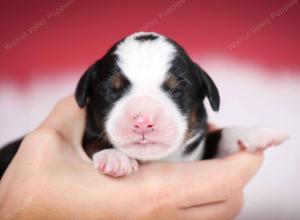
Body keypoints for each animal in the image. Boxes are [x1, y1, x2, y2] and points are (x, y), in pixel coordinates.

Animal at [0, 31, 288, 179]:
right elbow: (92, 141)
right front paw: (115, 158)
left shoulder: (196, 151)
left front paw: (256, 133)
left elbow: (219, 135)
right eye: (112, 90)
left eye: (177, 89)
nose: (143, 121)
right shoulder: (87, 133)